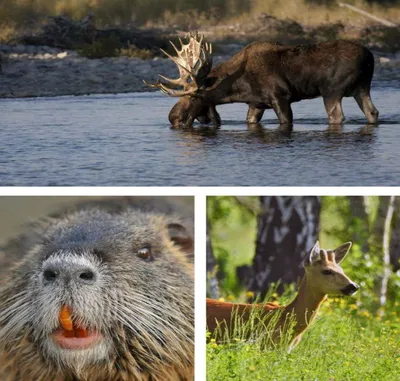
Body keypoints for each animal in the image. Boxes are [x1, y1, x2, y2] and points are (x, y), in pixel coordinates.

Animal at [144, 32, 378, 127]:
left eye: (193, 97)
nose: (172, 118)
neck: (237, 89)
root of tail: (370, 57)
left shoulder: (280, 97)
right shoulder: (256, 104)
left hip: (331, 91)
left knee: (337, 116)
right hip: (362, 87)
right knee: (372, 112)